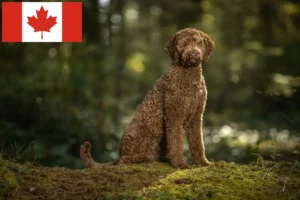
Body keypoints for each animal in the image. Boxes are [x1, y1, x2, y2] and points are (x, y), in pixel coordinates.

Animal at [81, 28, 214, 169]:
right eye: (183, 44)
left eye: (199, 42)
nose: (193, 53)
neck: (189, 75)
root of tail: (118, 155)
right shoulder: (174, 116)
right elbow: (176, 142)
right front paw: (180, 163)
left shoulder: (196, 117)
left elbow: (198, 143)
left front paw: (203, 162)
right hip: (136, 131)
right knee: (123, 160)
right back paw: (141, 157)